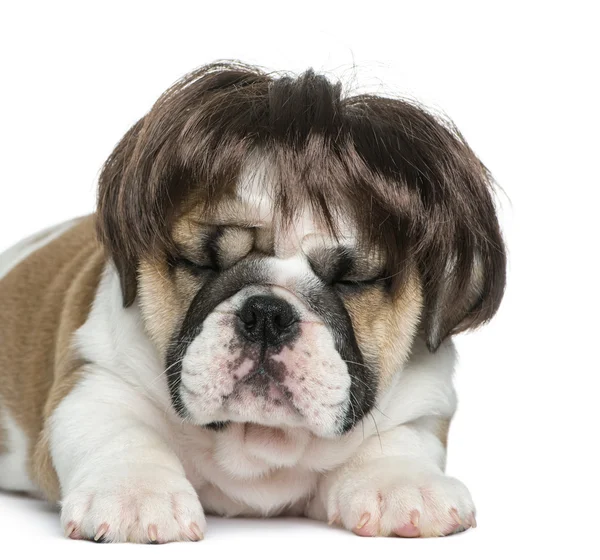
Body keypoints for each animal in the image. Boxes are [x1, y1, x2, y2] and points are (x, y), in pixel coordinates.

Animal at [0, 61, 506, 544]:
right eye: (201, 262)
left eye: (351, 280)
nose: (267, 313)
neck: (261, 439)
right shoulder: (97, 378)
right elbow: (119, 430)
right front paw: (134, 493)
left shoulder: (425, 400)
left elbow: (399, 439)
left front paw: (402, 484)